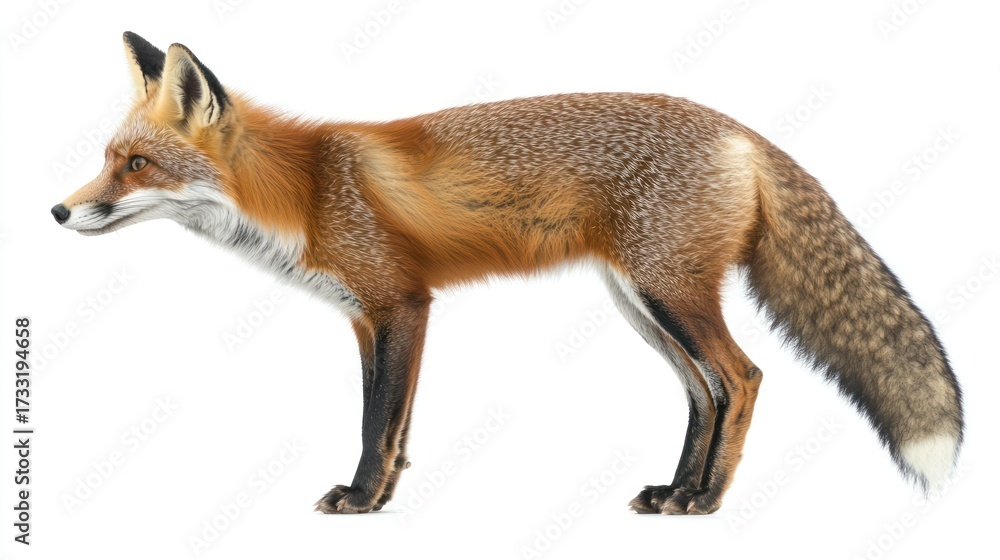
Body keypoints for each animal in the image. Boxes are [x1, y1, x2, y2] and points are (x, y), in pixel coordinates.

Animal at [52, 32, 963, 515]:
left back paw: (705, 502)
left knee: (742, 378)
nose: (58, 213)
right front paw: (385, 498)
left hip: (669, 294)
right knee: (706, 392)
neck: (306, 190)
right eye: (106, 159)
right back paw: (673, 492)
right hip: (643, 304)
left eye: (134, 165)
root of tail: (741, 130)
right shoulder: (370, 317)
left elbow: (375, 423)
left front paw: (360, 501)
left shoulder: (401, 304)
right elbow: (397, 423)